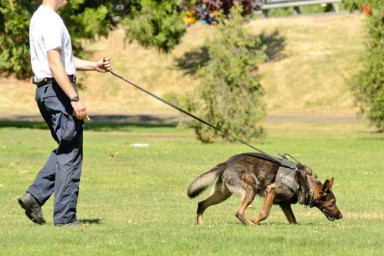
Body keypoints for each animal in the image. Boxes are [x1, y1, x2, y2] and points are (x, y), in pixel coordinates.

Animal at [188, 153, 340, 225]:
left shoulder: (284, 203)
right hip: (250, 191)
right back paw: (250, 224)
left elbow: (293, 220)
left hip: (222, 195)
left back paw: (200, 224)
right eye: (332, 203)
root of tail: (226, 163)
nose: (340, 216)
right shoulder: (270, 191)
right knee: (238, 212)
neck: (306, 183)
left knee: (201, 204)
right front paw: (255, 221)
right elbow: (264, 213)